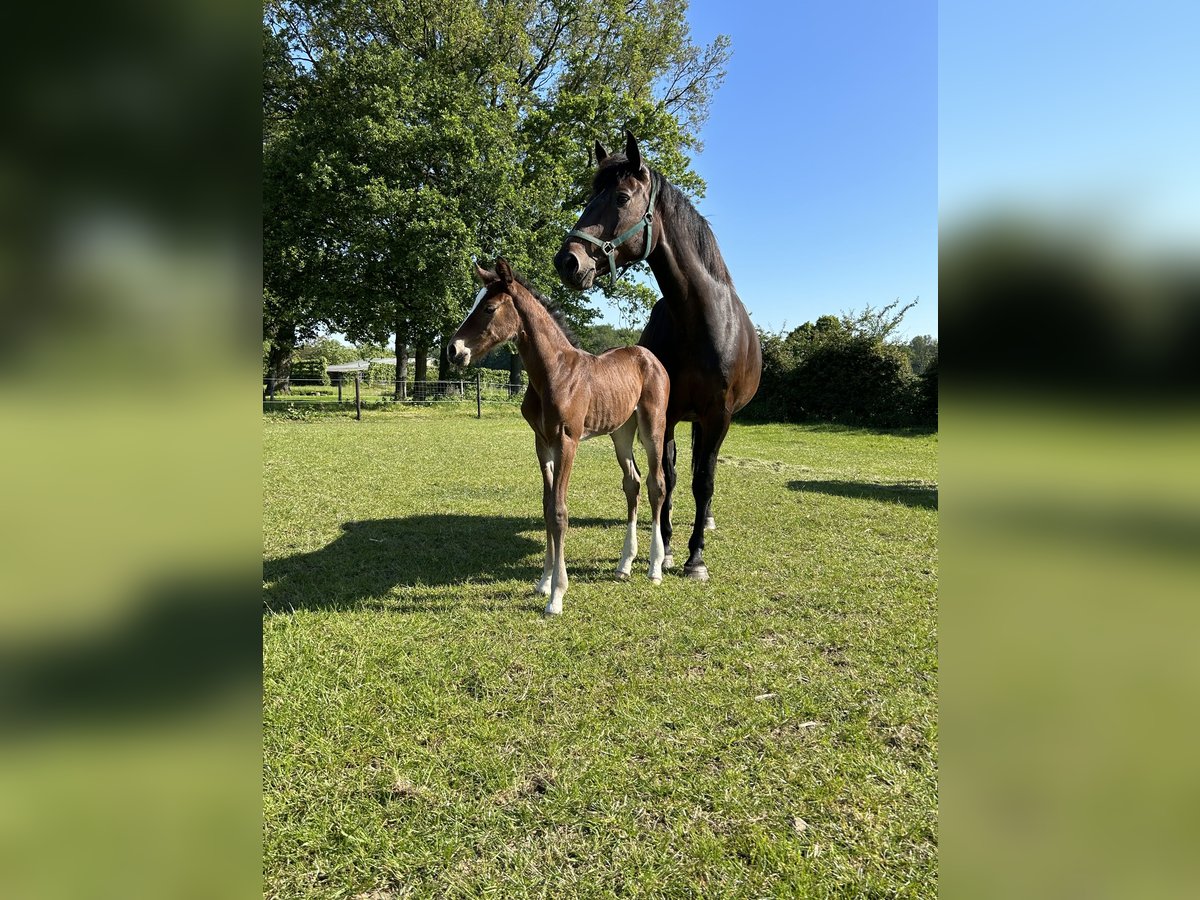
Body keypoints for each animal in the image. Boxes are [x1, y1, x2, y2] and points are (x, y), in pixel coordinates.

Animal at [451, 256, 676, 619]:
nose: (452, 350)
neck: (554, 373)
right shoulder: (542, 443)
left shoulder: (567, 441)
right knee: (633, 483)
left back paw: (654, 567)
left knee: (657, 484)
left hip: (653, 425)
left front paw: (556, 594)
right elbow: (546, 508)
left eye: (489, 308)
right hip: (621, 432)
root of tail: (650, 357)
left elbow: (559, 512)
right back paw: (624, 565)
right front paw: (543, 582)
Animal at [552, 133, 758, 585]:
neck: (697, 320)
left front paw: (695, 557)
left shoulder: (718, 416)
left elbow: (703, 481)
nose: (567, 261)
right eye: (590, 197)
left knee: (705, 473)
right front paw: (663, 547)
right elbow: (668, 476)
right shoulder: (667, 413)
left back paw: (706, 522)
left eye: (622, 197)